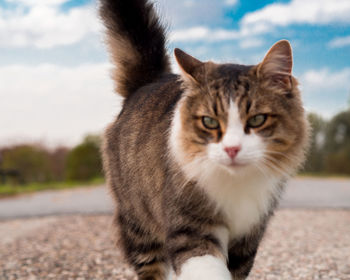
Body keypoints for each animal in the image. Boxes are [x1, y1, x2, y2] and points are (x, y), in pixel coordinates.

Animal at [99, 0, 308, 280]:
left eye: (257, 120)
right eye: (209, 122)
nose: (232, 149)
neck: (236, 186)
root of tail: (149, 82)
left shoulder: (248, 240)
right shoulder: (191, 230)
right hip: (140, 225)